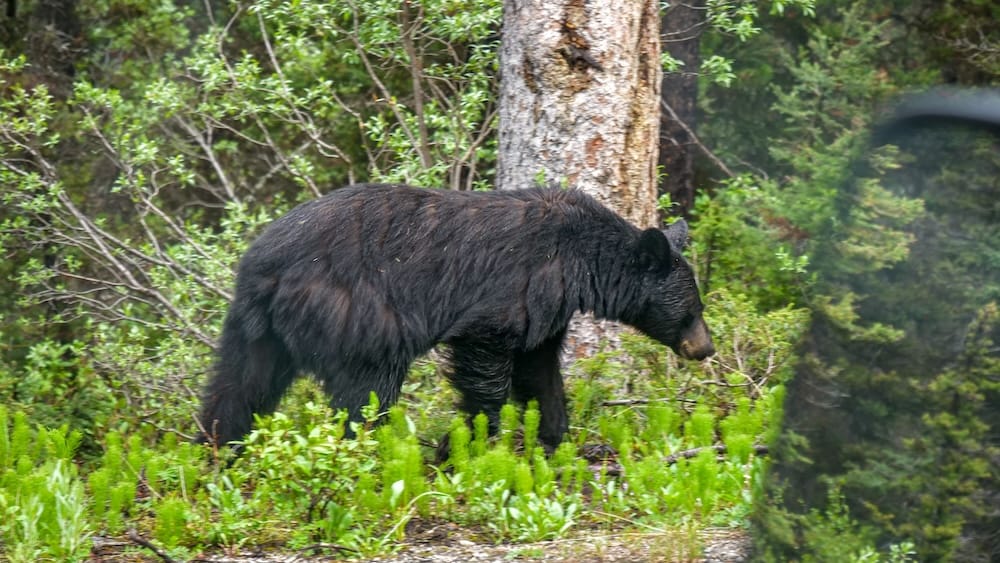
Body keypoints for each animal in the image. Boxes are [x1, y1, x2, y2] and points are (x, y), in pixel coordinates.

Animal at [196, 183, 714, 451]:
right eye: (691, 310)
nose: (705, 348)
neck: (580, 259)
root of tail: (267, 267)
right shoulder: (516, 289)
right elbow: (487, 358)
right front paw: (467, 441)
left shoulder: (548, 310)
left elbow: (540, 369)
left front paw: (553, 437)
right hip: (354, 315)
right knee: (367, 390)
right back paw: (366, 453)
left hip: (255, 328)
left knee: (240, 384)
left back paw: (217, 448)